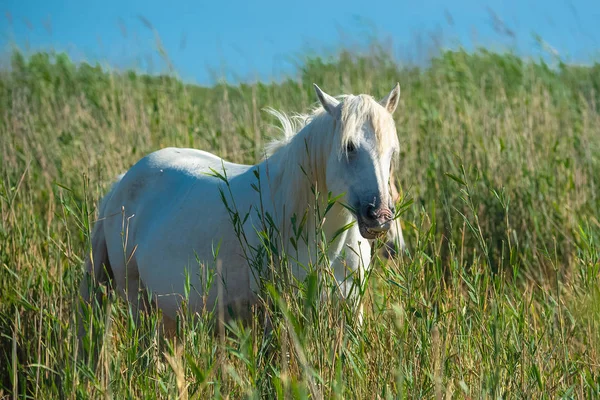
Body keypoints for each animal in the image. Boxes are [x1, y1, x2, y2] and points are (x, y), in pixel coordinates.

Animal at [77, 84, 400, 334]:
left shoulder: (350, 311)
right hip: (138, 302)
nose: (380, 216)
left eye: (392, 152)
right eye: (349, 147)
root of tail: (123, 182)